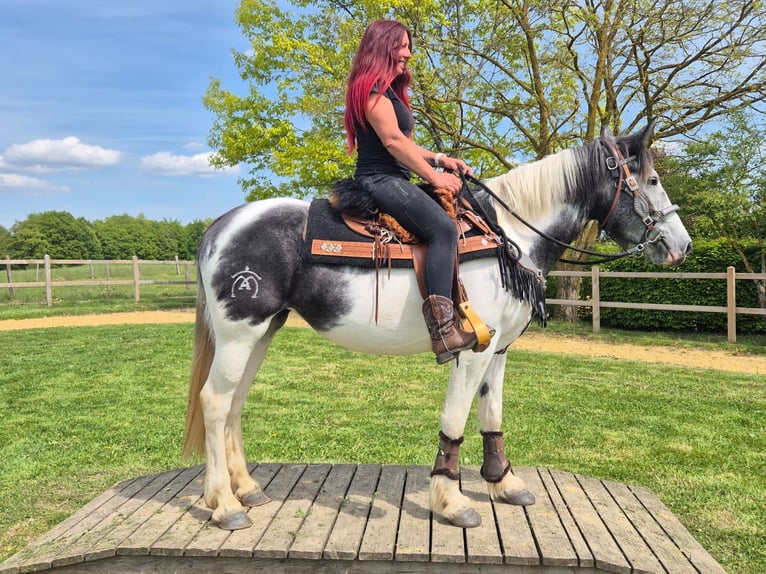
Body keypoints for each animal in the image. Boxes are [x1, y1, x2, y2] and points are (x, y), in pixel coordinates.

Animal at [182, 122, 692, 530]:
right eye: (652, 179)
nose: (681, 245)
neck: (506, 236)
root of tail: (220, 227)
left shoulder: (499, 351)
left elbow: (492, 414)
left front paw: (504, 482)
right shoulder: (474, 349)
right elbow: (455, 418)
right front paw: (451, 500)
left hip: (261, 333)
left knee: (234, 403)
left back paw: (247, 489)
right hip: (239, 333)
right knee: (215, 402)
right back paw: (224, 505)